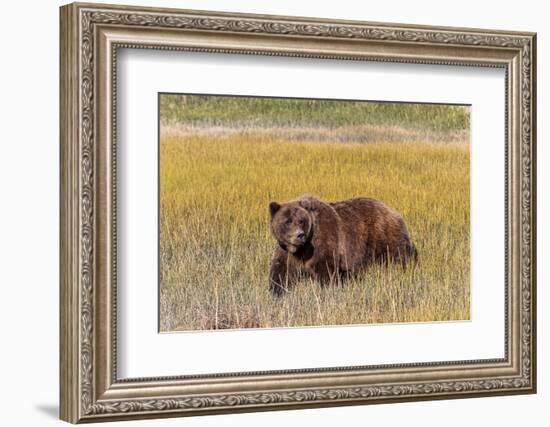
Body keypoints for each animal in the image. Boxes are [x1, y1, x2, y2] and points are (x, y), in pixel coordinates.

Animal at [268, 196, 418, 296]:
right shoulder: (288, 251)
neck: (301, 249)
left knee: (398, 258)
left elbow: (325, 270)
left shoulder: (324, 241)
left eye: (301, 220)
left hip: (384, 237)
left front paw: (327, 290)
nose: (300, 235)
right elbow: (281, 270)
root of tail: (394, 212)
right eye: (288, 221)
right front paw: (276, 292)